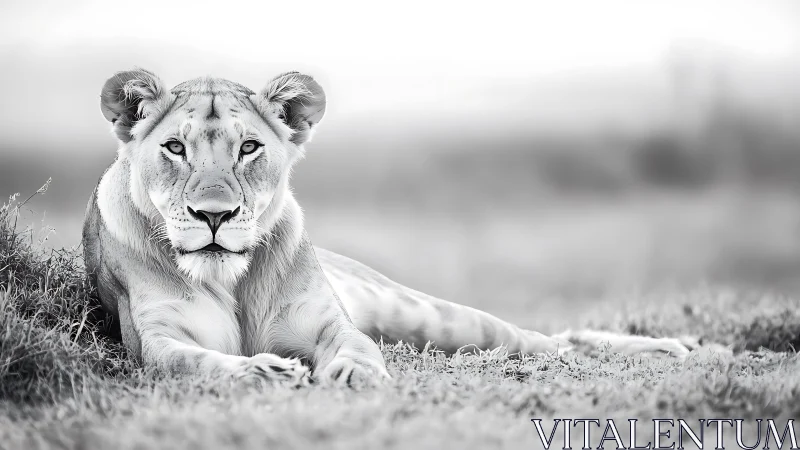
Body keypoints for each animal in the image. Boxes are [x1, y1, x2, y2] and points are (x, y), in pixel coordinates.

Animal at [83, 68, 695, 386]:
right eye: (175, 148)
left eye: (249, 148)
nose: (215, 215)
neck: (229, 279)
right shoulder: (156, 339)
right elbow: (192, 360)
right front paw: (262, 372)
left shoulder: (327, 323)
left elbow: (355, 345)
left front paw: (353, 376)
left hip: (432, 316)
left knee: (550, 343)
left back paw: (676, 350)